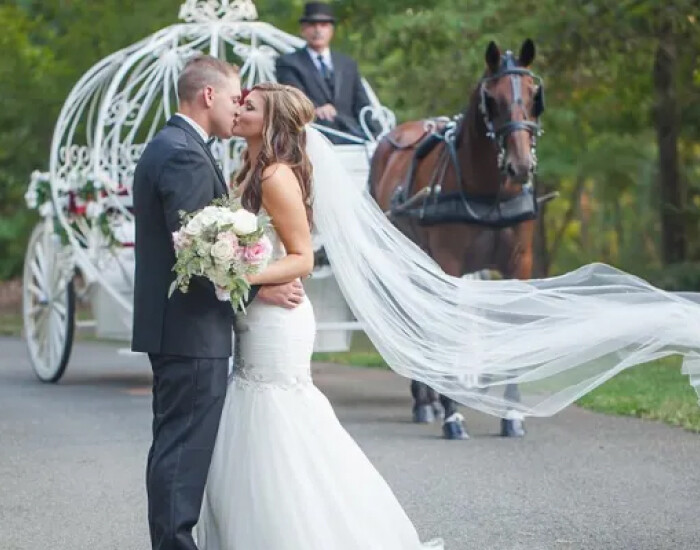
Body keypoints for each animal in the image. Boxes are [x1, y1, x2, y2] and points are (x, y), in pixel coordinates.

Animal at [370, 38, 544, 442]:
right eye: (491, 99)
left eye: (534, 95)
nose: (520, 166)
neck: (489, 191)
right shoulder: (447, 263)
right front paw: (453, 417)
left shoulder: (519, 262)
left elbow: (510, 328)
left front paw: (512, 415)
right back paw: (424, 402)